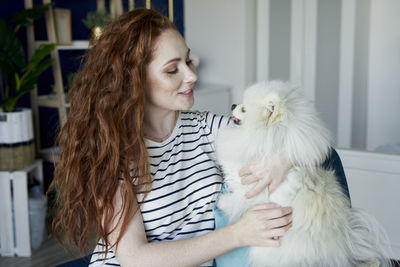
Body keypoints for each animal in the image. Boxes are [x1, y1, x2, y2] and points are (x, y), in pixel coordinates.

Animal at [217, 80, 392, 266]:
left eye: (244, 109)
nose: (233, 105)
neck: (265, 137)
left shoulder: (255, 188)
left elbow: (240, 198)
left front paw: (222, 202)